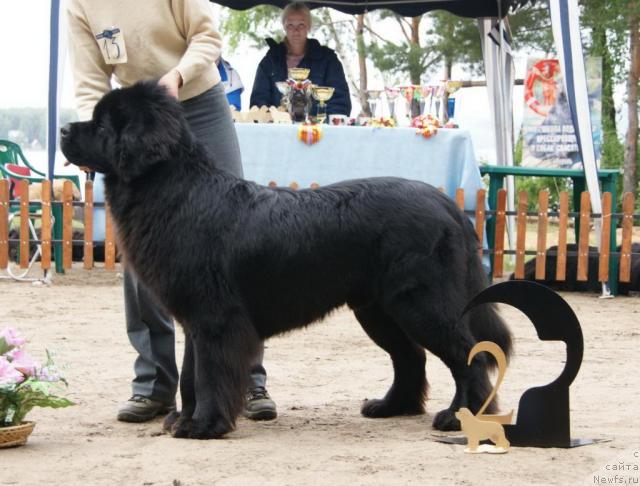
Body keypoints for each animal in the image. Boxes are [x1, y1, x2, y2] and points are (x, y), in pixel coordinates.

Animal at [60, 81, 510, 438]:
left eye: (102, 125)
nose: (64, 129)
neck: (175, 189)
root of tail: (446, 204)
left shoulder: (215, 318)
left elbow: (208, 374)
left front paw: (203, 426)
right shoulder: (195, 317)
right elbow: (190, 374)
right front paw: (183, 420)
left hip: (421, 302)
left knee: (468, 352)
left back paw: (460, 416)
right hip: (379, 308)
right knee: (410, 356)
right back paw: (390, 407)